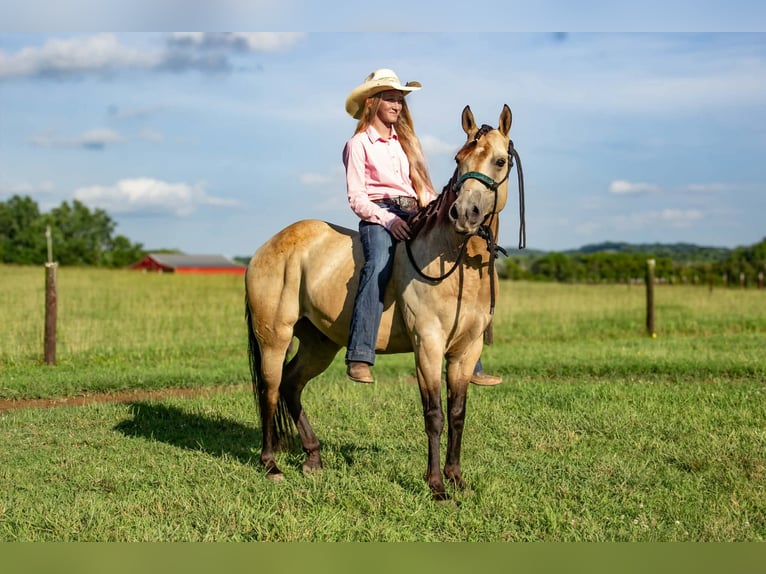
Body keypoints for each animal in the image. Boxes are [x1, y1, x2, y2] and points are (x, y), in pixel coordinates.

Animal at [245, 104, 524, 500]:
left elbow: (457, 413)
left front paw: (457, 479)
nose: (463, 213)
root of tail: (266, 247)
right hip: (274, 337)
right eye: (459, 159)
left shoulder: (465, 351)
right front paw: (437, 487)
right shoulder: (428, 345)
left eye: (500, 161)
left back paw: (313, 458)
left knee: (291, 384)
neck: (453, 261)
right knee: (269, 391)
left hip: (319, 343)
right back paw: (271, 465)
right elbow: (434, 415)